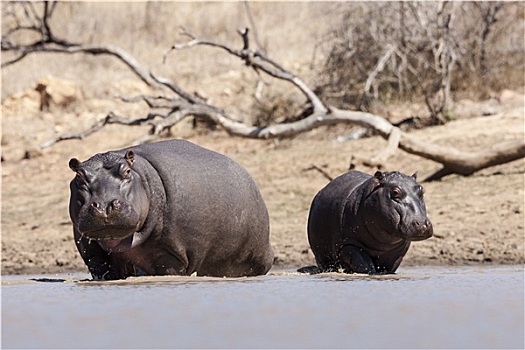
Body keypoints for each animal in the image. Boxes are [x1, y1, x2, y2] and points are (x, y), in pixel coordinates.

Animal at [300, 171, 432, 274]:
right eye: (395, 192)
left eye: (422, 190)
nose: (422, 224)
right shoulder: (349, 245)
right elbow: (365, 265)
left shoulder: (398, 252)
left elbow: (389, 268)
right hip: (322, 255)